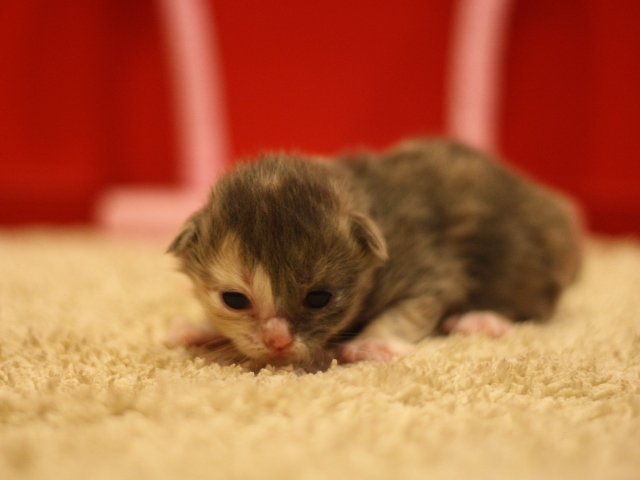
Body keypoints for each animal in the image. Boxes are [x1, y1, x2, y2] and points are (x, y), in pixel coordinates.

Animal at [168, 137, 584, 370]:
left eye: (319, 298)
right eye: (235, 300)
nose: (278, 342)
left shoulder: (427, 268)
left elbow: (411, 310)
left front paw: (372, 344)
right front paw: (201, 328)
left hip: (526, 264)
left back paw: (481, 319)